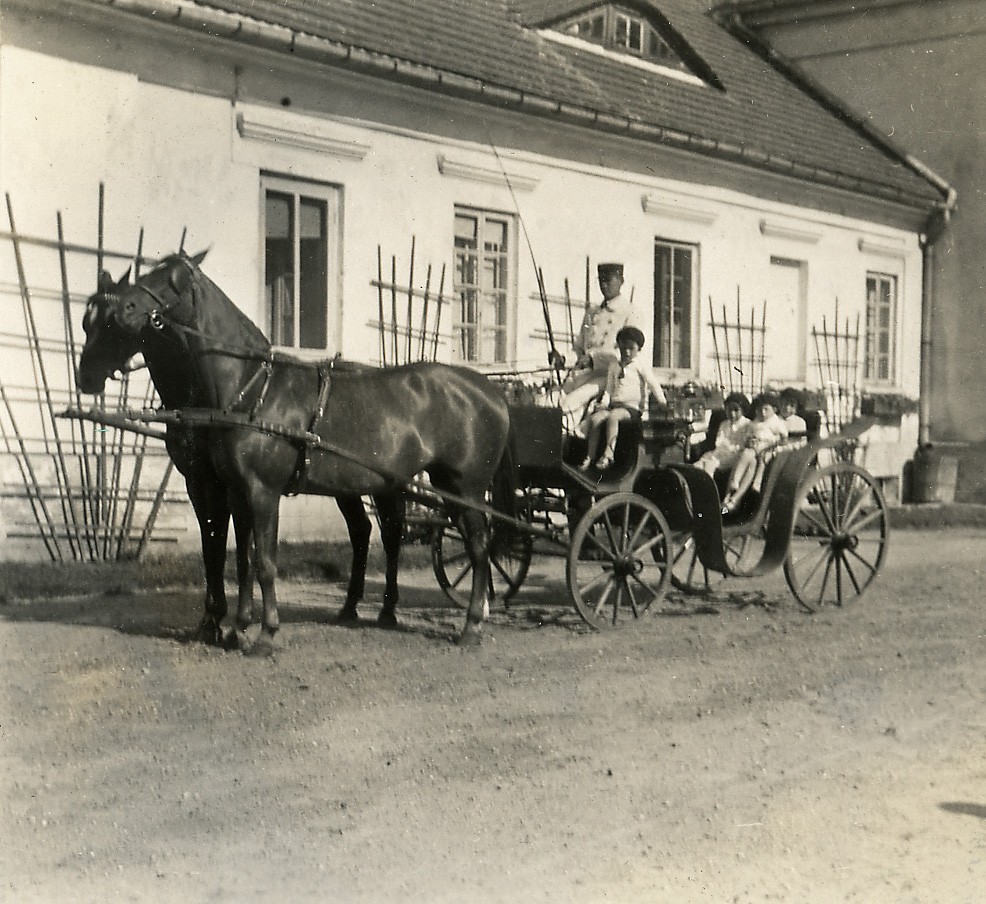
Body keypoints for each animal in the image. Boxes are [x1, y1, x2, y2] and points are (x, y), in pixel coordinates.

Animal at [81, 251, 512, 652]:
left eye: (174, 280)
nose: (85, 377)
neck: (250, 389)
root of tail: (492, 392)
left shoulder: (260, 490)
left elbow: (263, 561)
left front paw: (265, 633)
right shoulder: (231, 489)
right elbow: (236, 557)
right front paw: (235, 627)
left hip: (464, 488)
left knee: (477, 546)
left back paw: (472, 624)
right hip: (393, 484)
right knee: (383, 534)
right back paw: (380, 611)